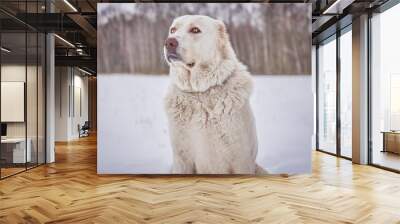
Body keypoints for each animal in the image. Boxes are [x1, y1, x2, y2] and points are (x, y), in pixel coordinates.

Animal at [162, 14, 262, 174]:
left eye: (195, 30)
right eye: (173, 30)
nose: (169, 42)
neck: (200, 92)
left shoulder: (242, 159)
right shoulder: (182, 160)